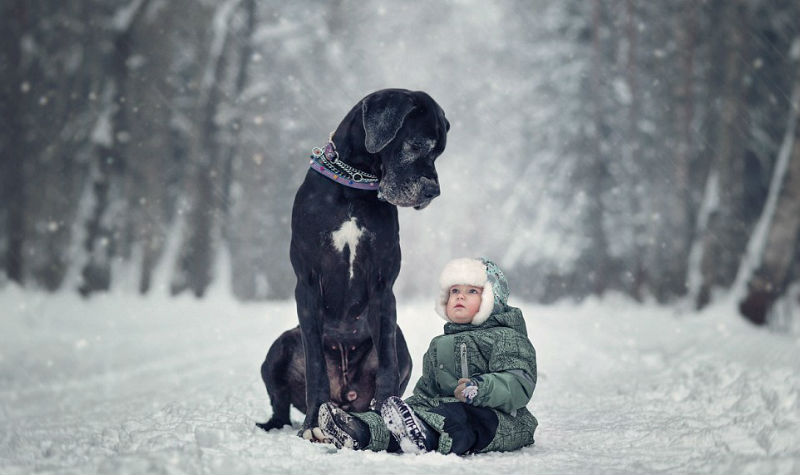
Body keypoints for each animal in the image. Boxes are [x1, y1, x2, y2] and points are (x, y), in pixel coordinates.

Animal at [260, 88, 454, 438]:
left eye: (439, 152)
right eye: (416, 145)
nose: (433, 190)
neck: (353, 185)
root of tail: (345, 395)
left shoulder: (382, 286)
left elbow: (388, 364)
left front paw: (388, 418)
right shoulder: (307, 284)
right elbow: (316, 368)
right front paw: (314, 422)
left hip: (401, 344)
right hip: (278, 348)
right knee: (280, 405)